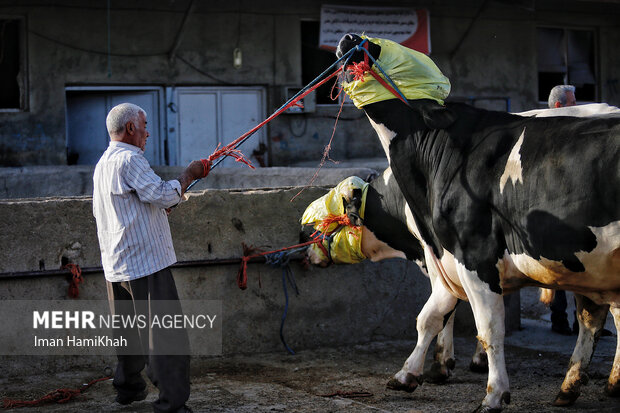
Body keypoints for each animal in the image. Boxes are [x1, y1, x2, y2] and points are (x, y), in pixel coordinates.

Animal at [334, 33, 620, 410]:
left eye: (379, 50)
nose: (349, 38)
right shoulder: (449, 257)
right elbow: (437, 315)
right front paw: (417, 371)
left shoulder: (470, 254)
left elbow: (479, 325)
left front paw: (490, 391)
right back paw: (579, 386)